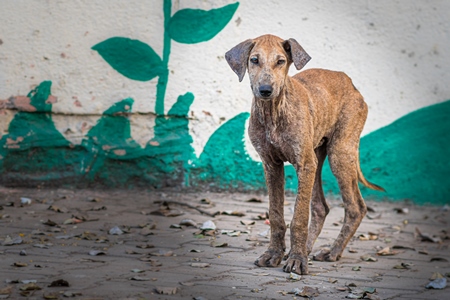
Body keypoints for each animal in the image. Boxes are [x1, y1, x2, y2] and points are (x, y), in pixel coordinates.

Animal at [225, 34, 384, 274]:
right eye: (254, 60)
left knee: (355, 208)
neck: (274, 111)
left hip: (339, 153)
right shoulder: (271, 165)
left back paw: (331, 252)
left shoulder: (304, 164)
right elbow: (276, 215)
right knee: (320, 207)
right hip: (318, 156)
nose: (265, 90)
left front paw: (297, 260)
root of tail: (349, 81)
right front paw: (275, 254)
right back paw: (306, 249)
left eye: (281, 61)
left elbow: (298, 217)